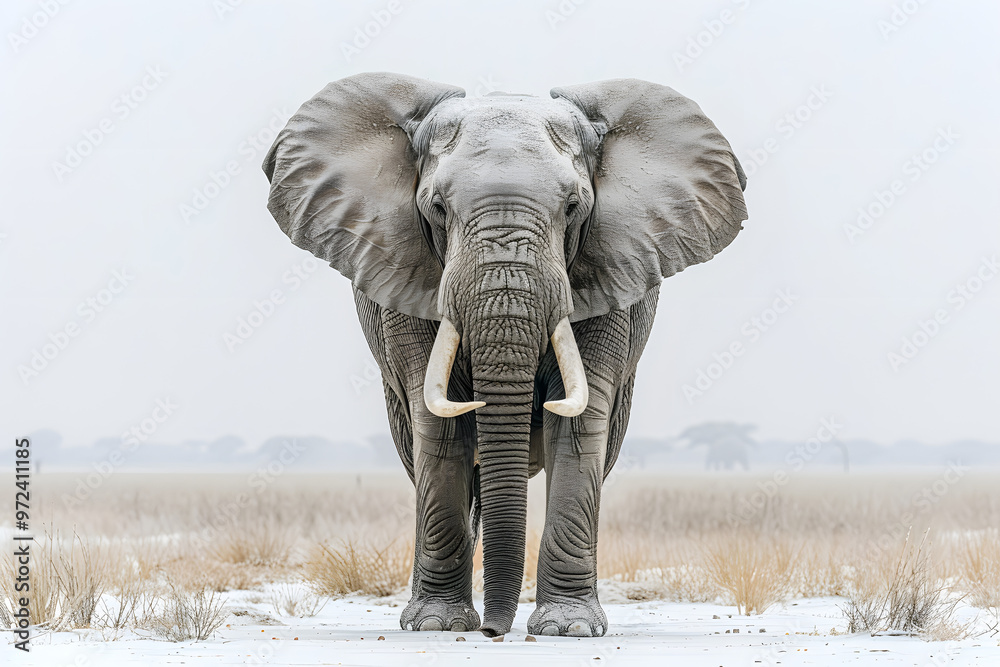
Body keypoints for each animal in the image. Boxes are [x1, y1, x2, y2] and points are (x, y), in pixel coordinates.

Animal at [262, 72, 747, 637]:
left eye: (574, 208)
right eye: (436, 208)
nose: (495, 632)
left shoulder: (610, 273)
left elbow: (579, 424)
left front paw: (568, 629)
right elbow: (439, 420)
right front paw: (438, 625)